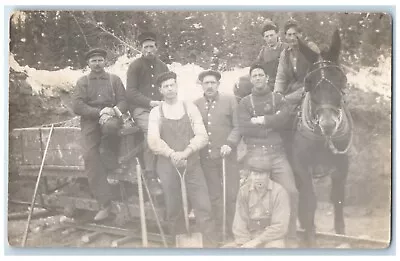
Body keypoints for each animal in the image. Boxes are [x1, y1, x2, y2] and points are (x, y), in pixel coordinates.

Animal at [292, 30, 354, 246]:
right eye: (309, 83)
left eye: (340, 79)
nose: (328, 124)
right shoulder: (301, 165)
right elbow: (310, 199)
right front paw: (310, 237)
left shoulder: (342, 164)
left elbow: (338, 198)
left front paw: (342, 234)